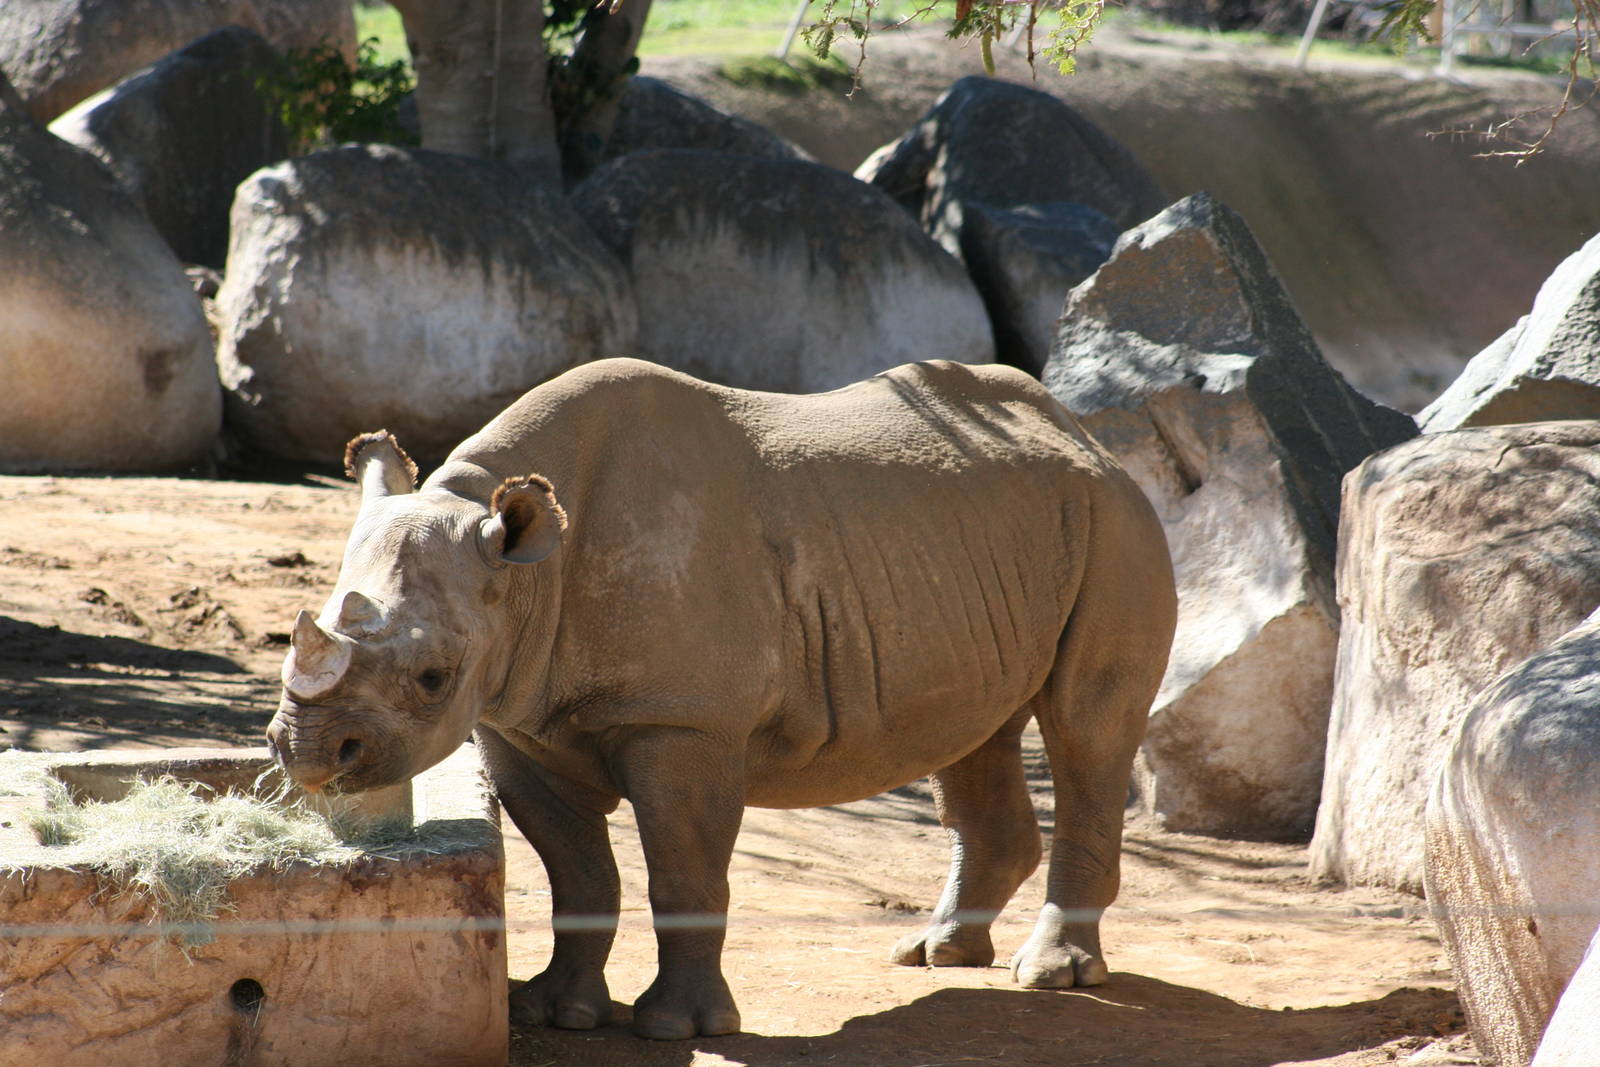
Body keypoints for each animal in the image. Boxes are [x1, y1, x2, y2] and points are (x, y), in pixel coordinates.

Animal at [267, 357, 1177, 1040]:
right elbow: (578, 872)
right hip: (987, 545)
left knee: (1086, 730)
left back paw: (1054, 974)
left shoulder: (685, 719)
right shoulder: (517, 721)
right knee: (971, 733)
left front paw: (679, 1028)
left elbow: (684, 869)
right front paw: (555, 1011)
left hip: (1119, 524)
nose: (306, 751)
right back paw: (936, 951)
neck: (523, 577)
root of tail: (1084, 435)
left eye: (432, 676)